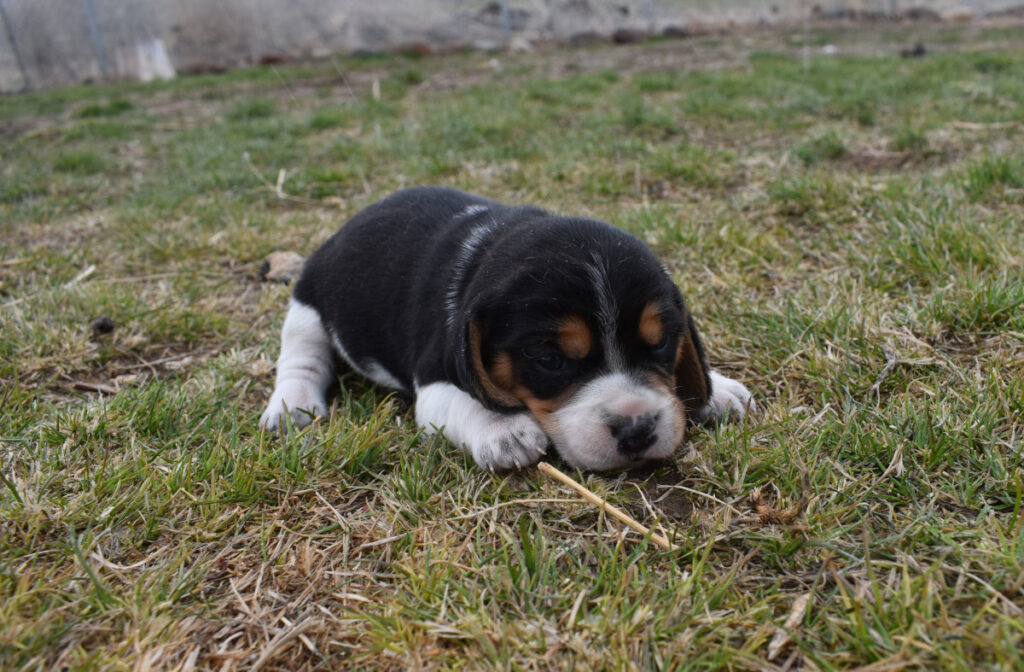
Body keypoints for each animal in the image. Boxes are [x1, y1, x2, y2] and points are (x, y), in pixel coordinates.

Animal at [256, 186, 753, 469]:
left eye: (662, 342)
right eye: (549, 359)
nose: (637, 429)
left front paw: (718, 389)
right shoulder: (435, 377)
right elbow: (465, 401)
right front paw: (503, 429)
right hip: (306, 308)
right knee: (300, 360)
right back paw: (292, 406)